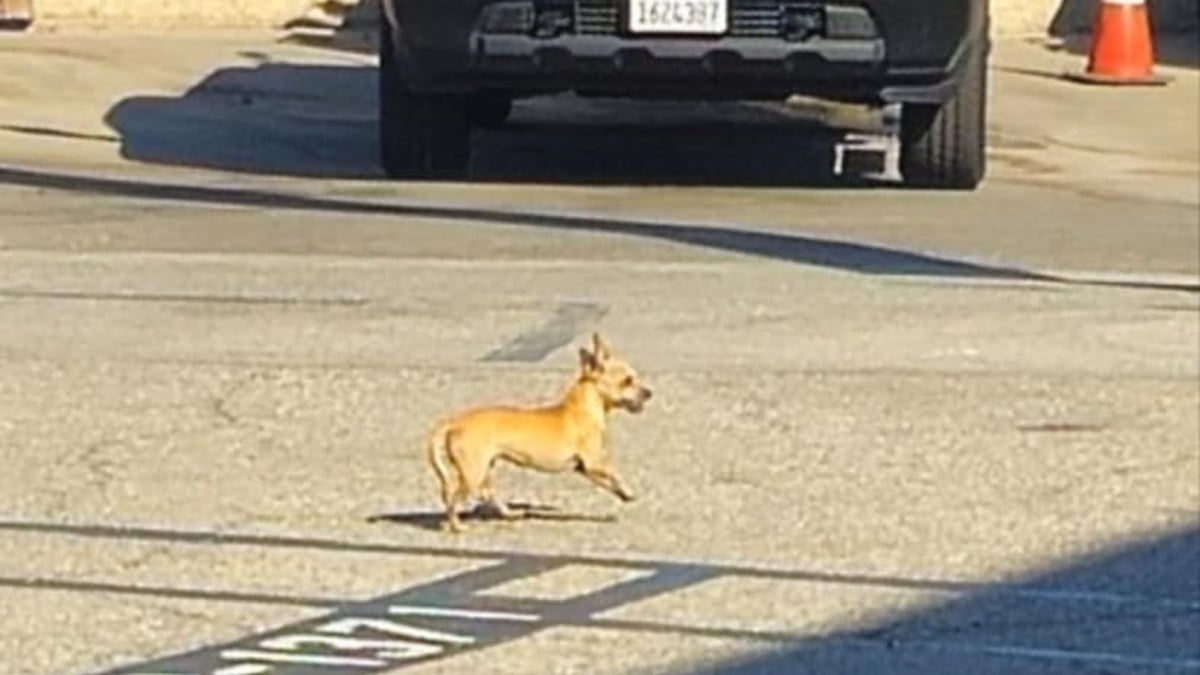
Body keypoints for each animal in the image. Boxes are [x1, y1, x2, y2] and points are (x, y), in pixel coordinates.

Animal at [424, 331, 652, 530]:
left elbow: (609, 481)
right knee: (453, 497)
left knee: (486, 493)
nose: (649, 393)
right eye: (628, 381)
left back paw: (509, 514)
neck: (583, 408)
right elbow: (615, 473)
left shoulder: (586, 469)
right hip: (473, 473)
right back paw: (455, 525)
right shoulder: (594, 462)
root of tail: (454, 421)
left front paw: (624, 494)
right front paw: (628, 490)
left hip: (483, 468)